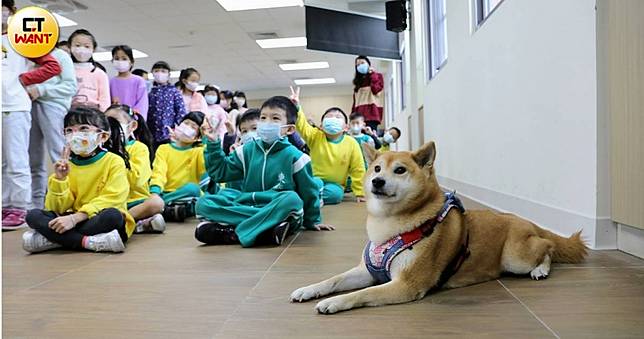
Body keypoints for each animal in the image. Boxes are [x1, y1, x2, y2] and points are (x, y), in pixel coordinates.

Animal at [292, 140, 588, 314]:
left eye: (400, 170)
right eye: (376, 169)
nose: (377, 181)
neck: (389, 226)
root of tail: (521, 218)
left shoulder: (406, 284)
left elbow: (361, 293)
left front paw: (333, 302)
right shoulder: (367, 270)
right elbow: (334, 280)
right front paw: (309, 289)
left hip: (516, 257)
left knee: (548, 246)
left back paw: (541, 269)